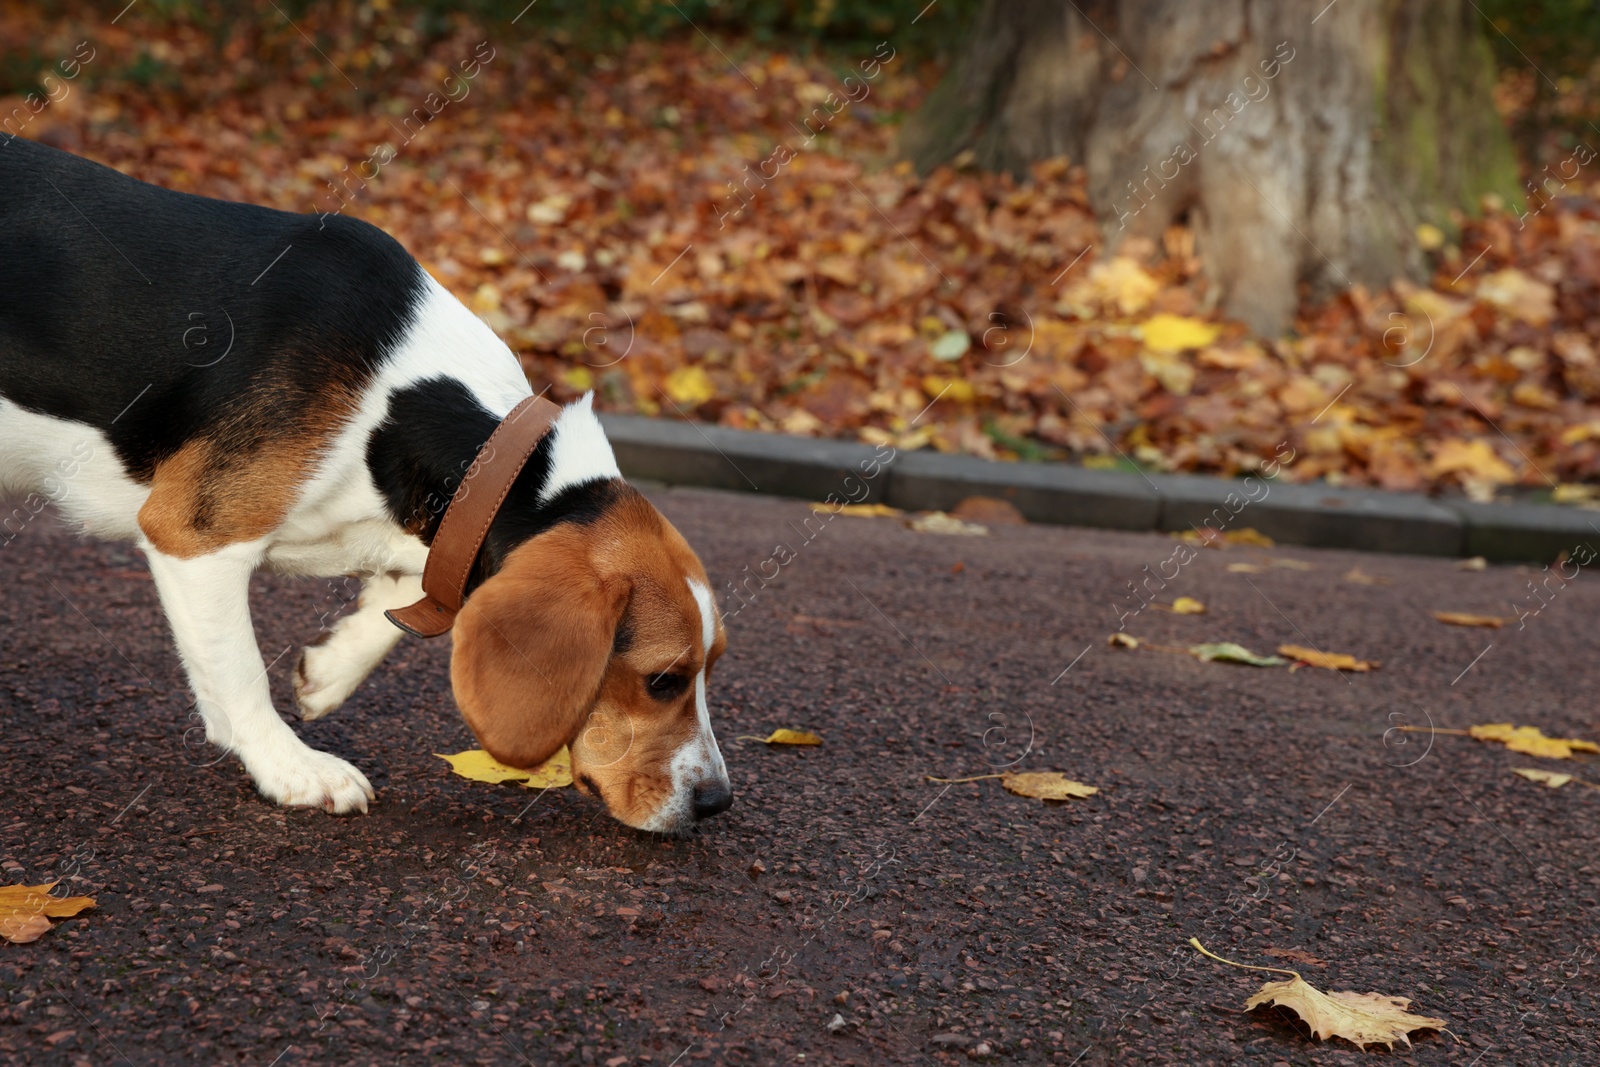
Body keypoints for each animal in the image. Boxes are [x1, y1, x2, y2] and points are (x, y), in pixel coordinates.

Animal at [0, 135, 732, 831]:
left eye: (713, 665)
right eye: (663, 680)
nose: (718, 802)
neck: (402, 406)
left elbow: (417, 592)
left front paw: (330, 671)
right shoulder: (194, 537)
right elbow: (240, 673)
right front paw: (290, 766)